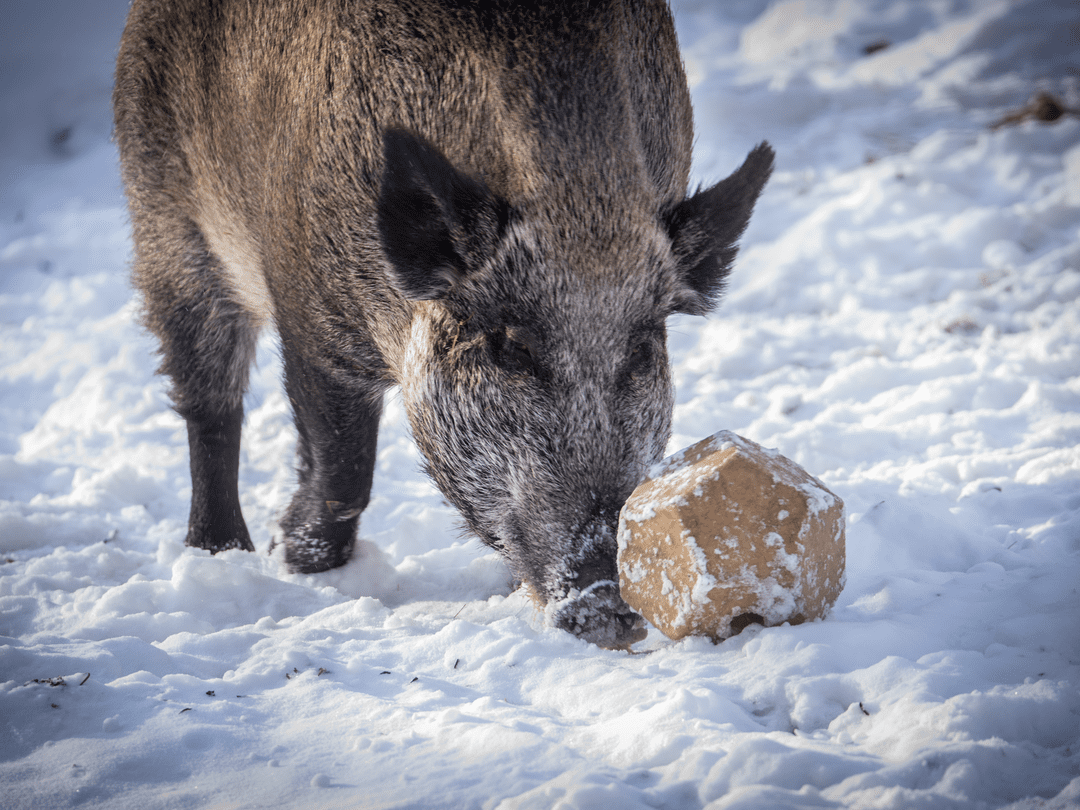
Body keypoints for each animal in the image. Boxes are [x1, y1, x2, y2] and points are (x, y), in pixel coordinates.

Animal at [113, 0, 773, 648]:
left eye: (641, 348)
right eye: (510, 344)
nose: (608, 594)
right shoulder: (308, 306)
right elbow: (344, 463)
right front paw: (293, 559)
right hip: (168, 223)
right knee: (209, 401)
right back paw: (220, 553)